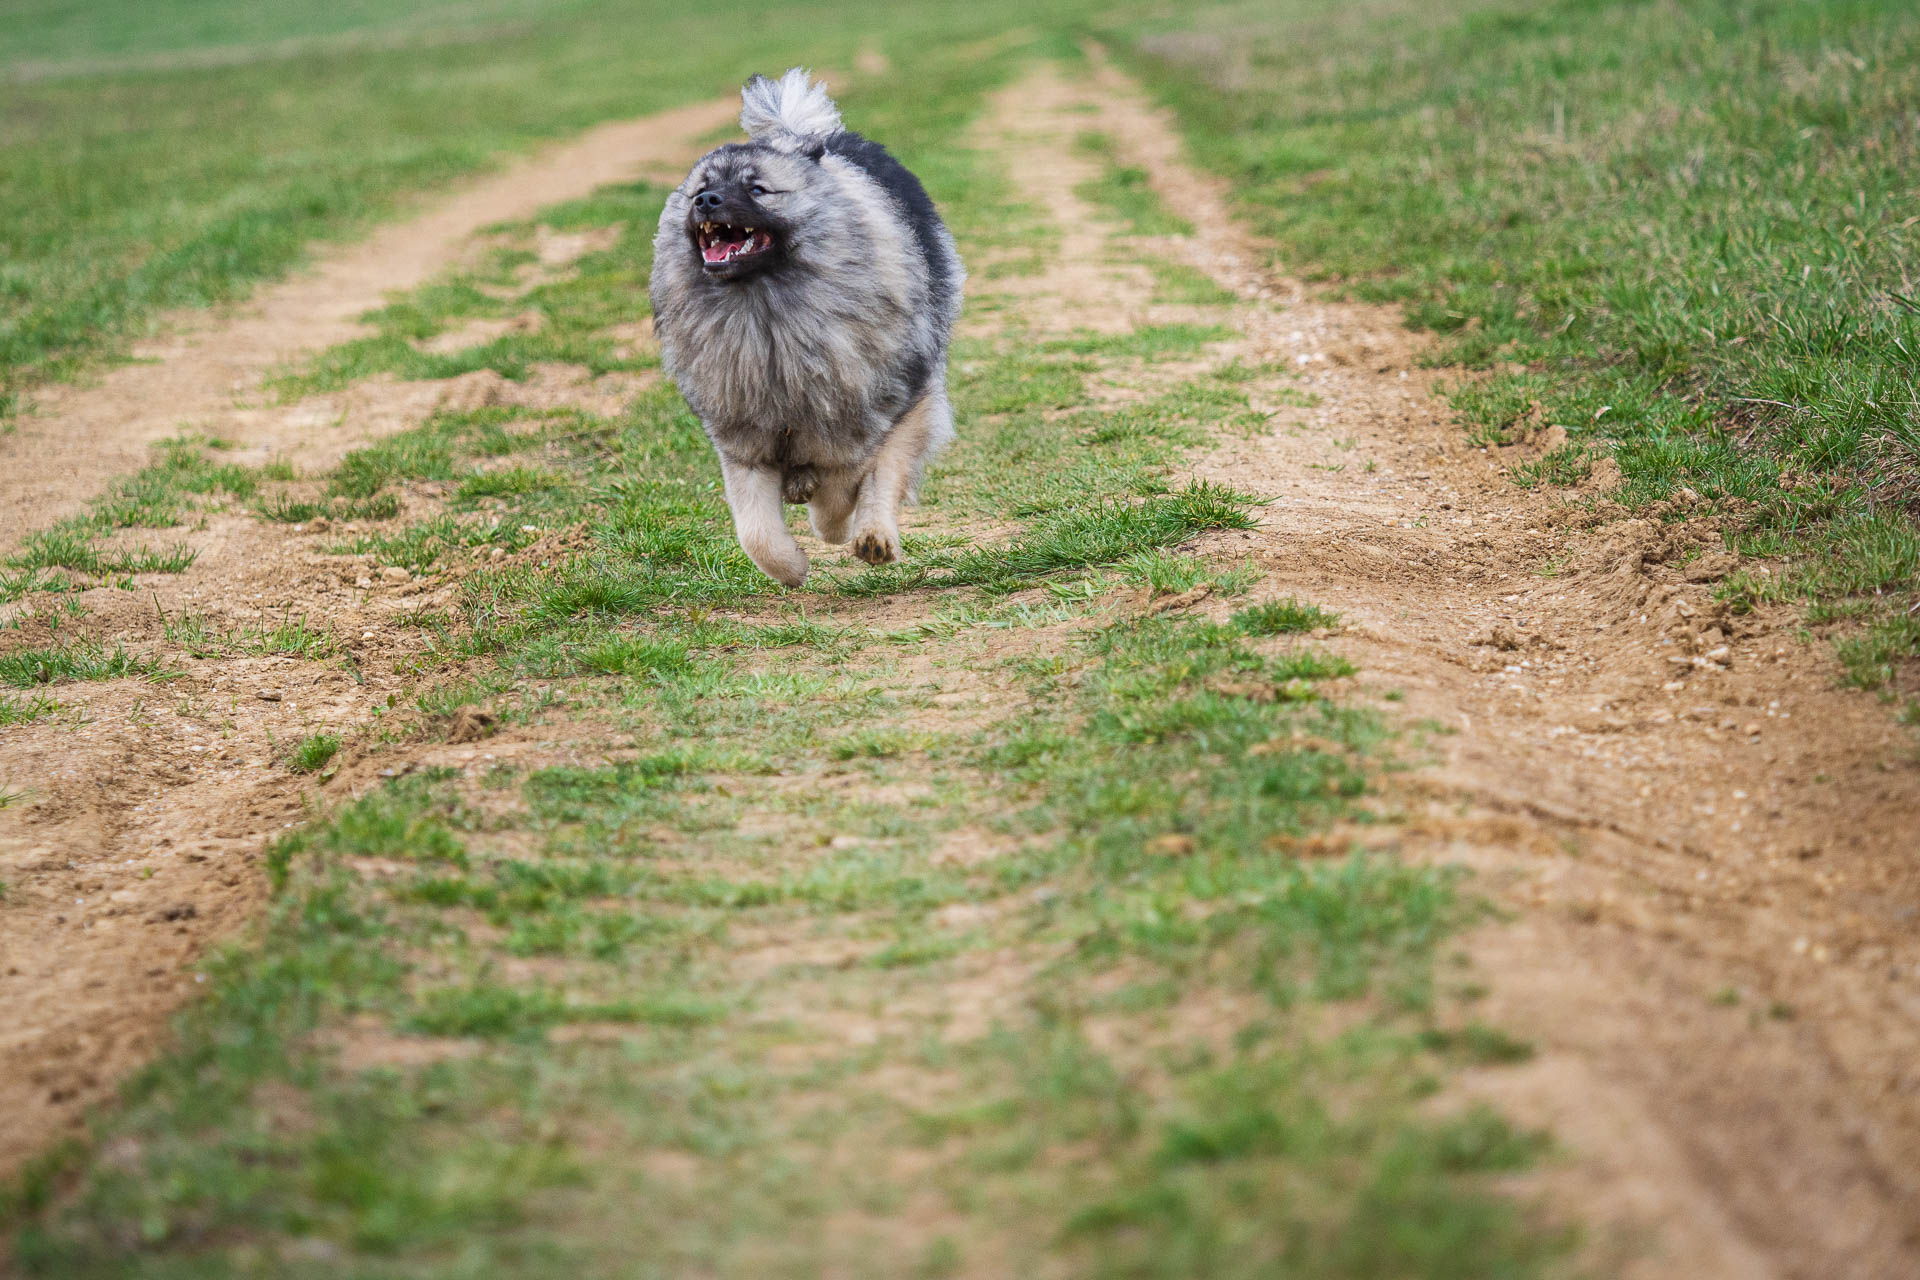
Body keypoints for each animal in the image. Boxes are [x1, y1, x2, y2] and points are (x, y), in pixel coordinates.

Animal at [649, 68, 964, 587]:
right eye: (700, 189)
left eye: (757, 190)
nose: (706, 201)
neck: (767, 318)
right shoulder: (745, 439)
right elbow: (757, 531)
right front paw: (791, 568)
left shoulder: (858, 416)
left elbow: (847, 484)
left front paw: (831, 525)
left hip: (910, 394)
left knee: (883, 473)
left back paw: (872, 535)